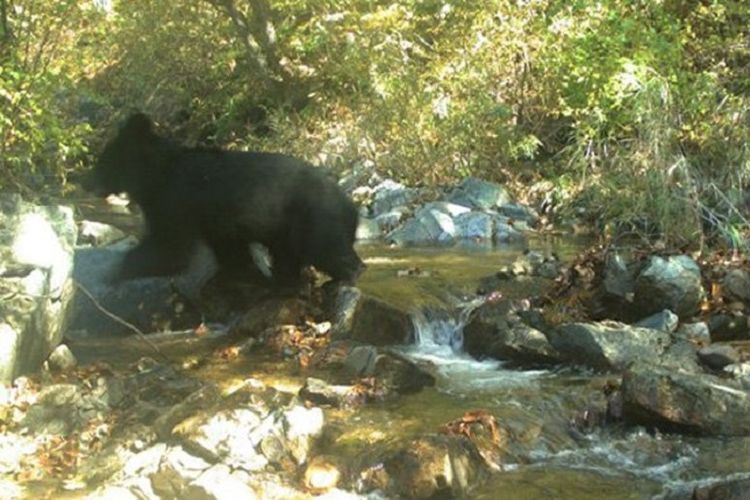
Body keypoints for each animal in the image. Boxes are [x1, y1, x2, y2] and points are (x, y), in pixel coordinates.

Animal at [88, 112, 368, 288]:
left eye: (103, 162)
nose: (86, 181)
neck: (154, 176)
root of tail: (351, 207)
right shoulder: (215, 222)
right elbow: (229, 249)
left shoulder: (176, 200)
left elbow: (169, 246)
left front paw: (113, 272)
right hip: (285, 231)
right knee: (289, 256)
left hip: (313, 218)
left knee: (326, 248)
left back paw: (348, 275)